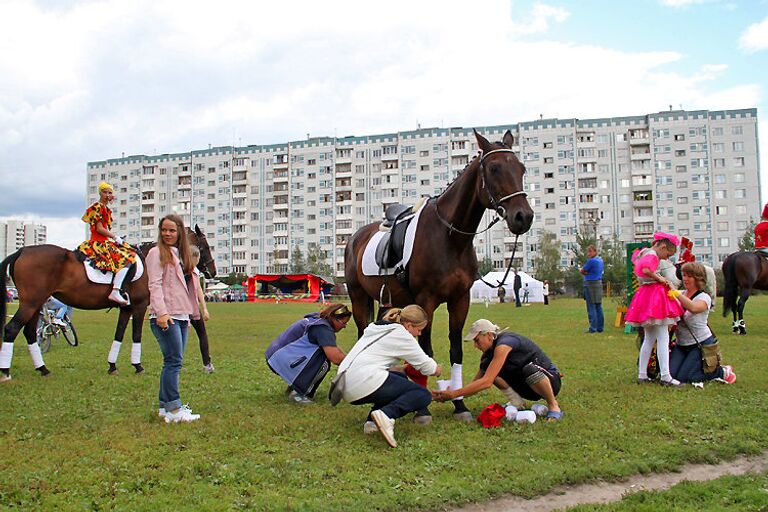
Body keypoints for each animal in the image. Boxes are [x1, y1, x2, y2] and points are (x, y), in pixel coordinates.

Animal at [0, 225, 216, 380]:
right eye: (205, 247)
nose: (212, 272)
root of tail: (22, 251)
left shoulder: (126, 308)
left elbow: (119, 334)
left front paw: (112, 366)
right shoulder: (139, 306)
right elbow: (136, 334)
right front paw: (138, 366)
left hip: (36, 304)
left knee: (29, 332)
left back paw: (43, 369)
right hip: (31, 303)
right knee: (11, 329)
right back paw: (6, 372)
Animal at [344, 130, 532, 422]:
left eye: (521, 168)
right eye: (494, 168)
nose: (523, 217)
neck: (450, 237)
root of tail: (355, 237)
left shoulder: (459, 300)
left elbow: (456, 351)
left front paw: (460, 405)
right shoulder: (426, 301)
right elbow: (425, 350)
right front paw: (422, 410)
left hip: (385, 302)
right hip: (357, 297)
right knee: (363, 334)